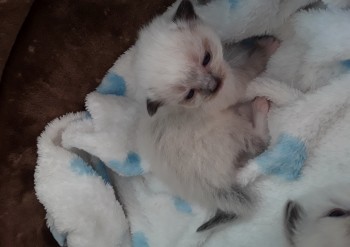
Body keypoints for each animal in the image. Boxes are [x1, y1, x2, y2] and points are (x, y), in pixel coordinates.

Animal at [134, 0, 278, 232]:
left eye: (206, 59)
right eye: (190, 94)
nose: (212, 86)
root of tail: (209, 190)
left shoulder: (225, 66)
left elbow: (235, 53)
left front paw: (254, 41)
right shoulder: (232, 85)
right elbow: (252, 64)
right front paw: (267, 46)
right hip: (230, 126)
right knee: (259, 144)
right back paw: (260, 105)